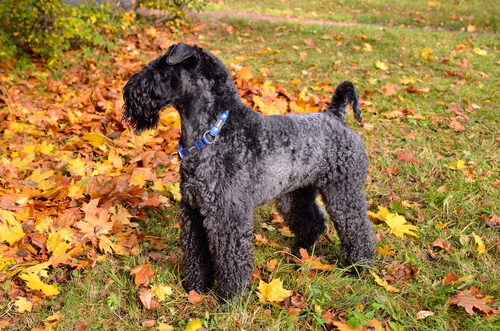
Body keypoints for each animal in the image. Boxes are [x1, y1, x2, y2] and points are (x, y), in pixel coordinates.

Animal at [122, 42, 376, 300]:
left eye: (163, 73)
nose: (129, 91)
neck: (214, 133)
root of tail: (335, 117)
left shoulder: (228, 215)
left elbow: (231, 259)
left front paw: (232, 299)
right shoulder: (193, 210)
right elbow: (196, 252)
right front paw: (196, 289)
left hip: (343, 193)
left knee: (357, 229)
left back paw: (358, 268)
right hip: (294, 194)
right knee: (312, 220)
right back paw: (299, 253)